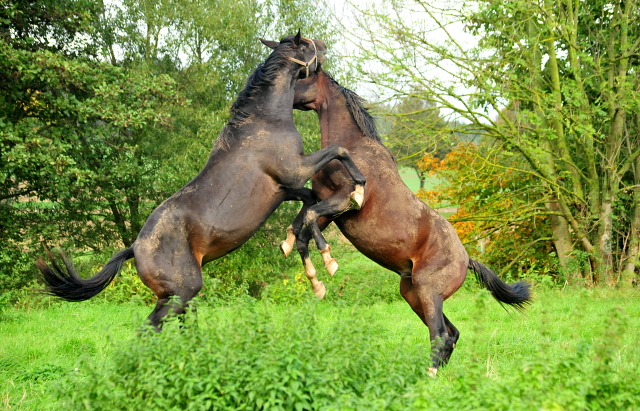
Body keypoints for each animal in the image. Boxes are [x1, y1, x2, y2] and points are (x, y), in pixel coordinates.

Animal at [284, 71, 528, 376]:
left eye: (302, 77)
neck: (354, 148)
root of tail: (466, 259)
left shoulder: (345, 200)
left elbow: (308, 218)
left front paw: (329, 262)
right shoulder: (330, 207)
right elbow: (303, 226)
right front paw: (312, 276)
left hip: (428, 291)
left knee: (440, 333)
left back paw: (430, 375)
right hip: (413, 294)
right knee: (451, 333)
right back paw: (437, 374)